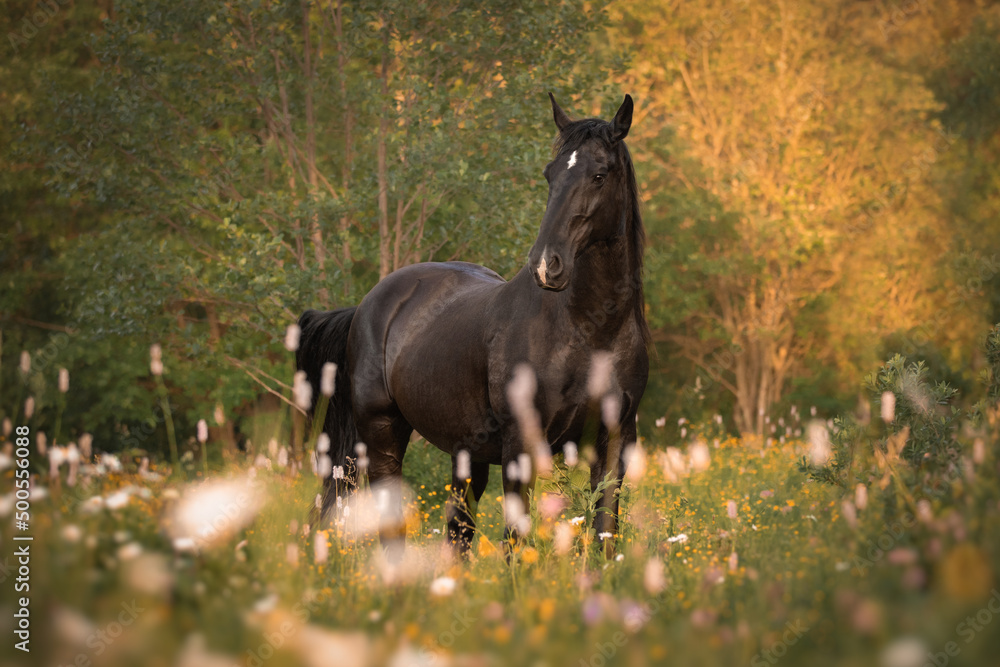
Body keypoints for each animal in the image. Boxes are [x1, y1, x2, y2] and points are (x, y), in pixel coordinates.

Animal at [296, 93, 649, 558]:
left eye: (599, 174)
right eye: (550, 174)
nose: (545, 264)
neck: (590, 333)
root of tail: (368, 304)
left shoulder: (614, 443)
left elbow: (605, 533)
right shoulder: (521, 448)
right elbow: (516, 542)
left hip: (467, 454)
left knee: (457, 530)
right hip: (382, 435)